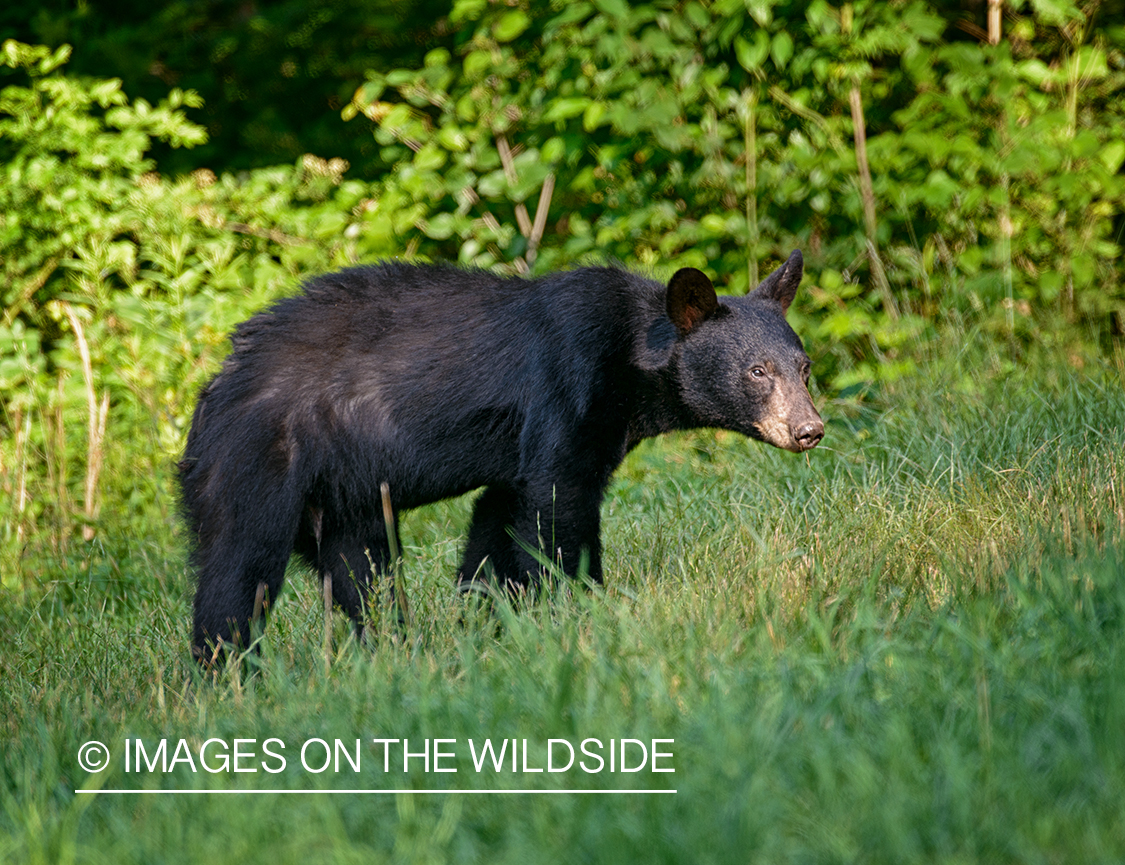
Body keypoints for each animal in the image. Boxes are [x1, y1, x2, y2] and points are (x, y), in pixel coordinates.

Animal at [179, 250, 823, 661]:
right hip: (260, 457)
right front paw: (586, 614)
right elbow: (559, 508)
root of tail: (213, 390)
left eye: (804, 366)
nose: (809, 429)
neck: (628, 362)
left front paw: (487, 625)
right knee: (239, 570)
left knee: (361, 570)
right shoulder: (565, 391)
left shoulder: (521, 455)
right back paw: (228, 675)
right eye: (757, 371)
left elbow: (497, 528)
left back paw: (390, 652)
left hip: (344, 493)